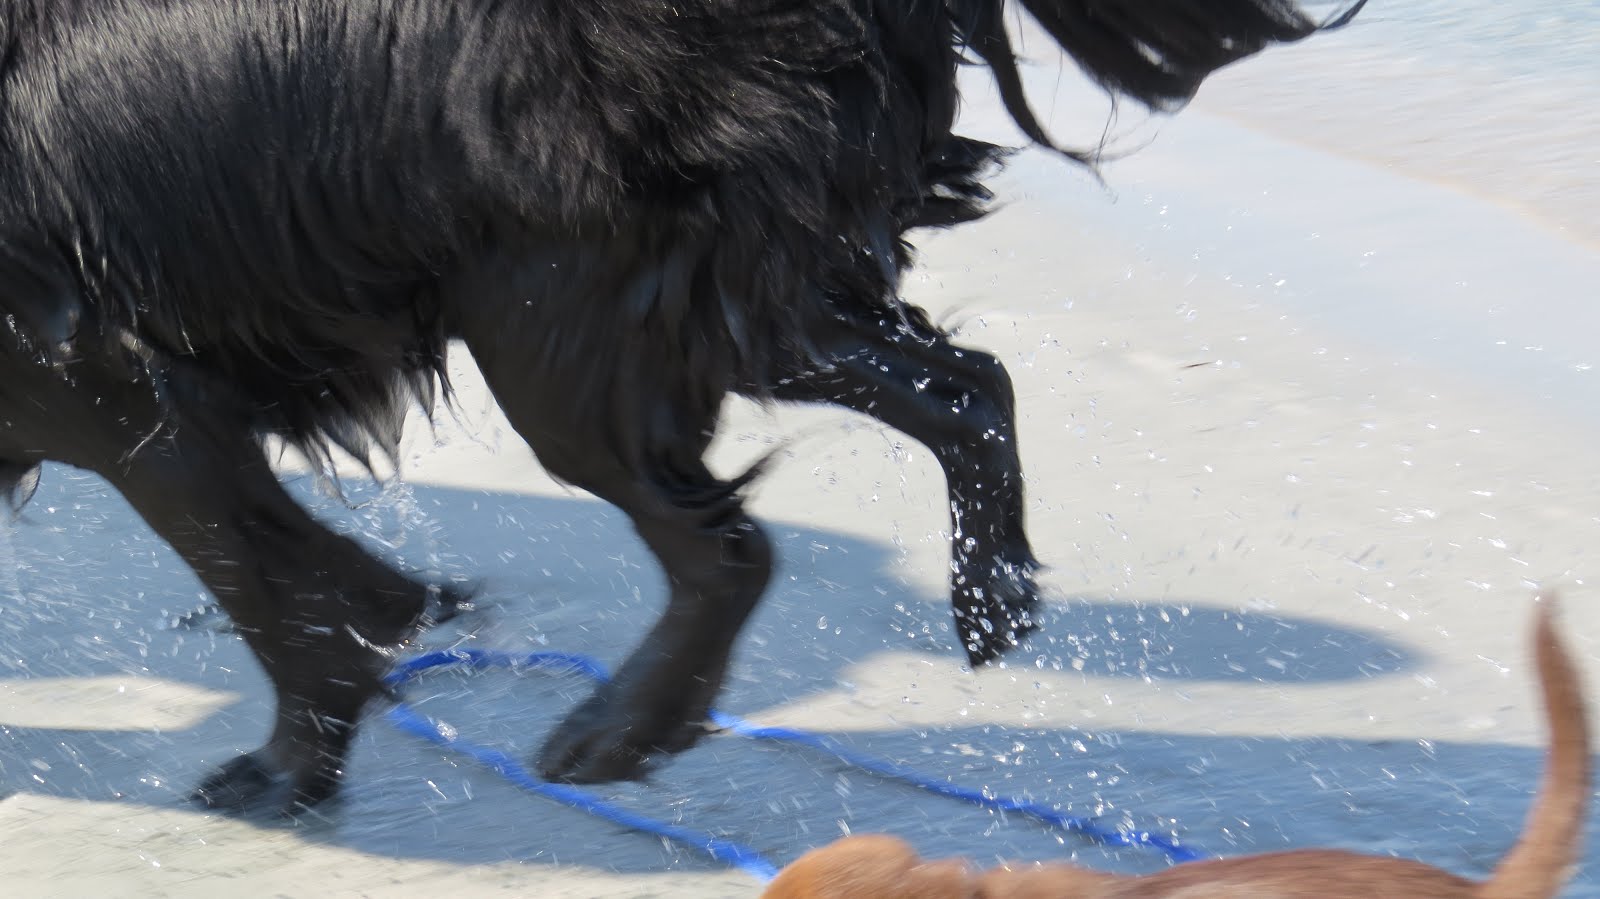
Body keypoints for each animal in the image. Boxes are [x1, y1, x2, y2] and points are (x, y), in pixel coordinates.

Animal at [0, 0, 1363, 812]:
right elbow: (285, 567)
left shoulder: (109, 383)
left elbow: (269, 585)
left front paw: (292, 761)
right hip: (711, 285)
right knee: (966, 384)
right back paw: (992, 596)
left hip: (554, 309)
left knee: (727, 543)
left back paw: (623, 730)